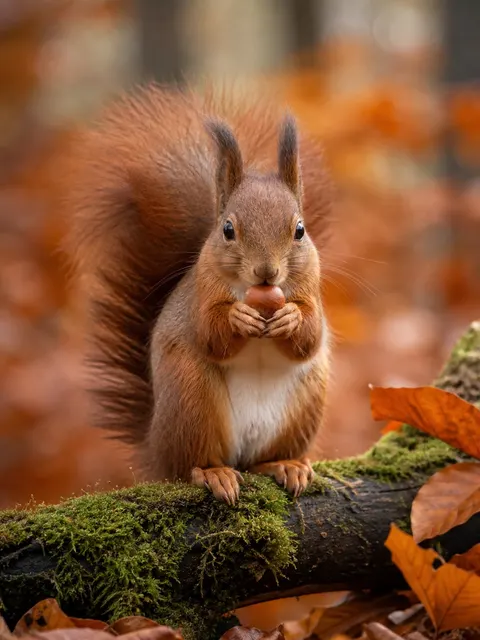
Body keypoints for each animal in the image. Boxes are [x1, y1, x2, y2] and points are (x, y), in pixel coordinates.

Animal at [65, 84, 332, 504]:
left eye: (300, 230)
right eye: (227, 230)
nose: (267, 272)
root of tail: (156, 448)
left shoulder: (311, 289)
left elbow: (311, 335)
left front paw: (290, 317)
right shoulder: (201, 295)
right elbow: (210, 333)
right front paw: (238, 317)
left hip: (304, 405)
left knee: (262, 459)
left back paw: (284, 464)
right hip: (192, 400)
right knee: (191, 463)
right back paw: (213, 473)